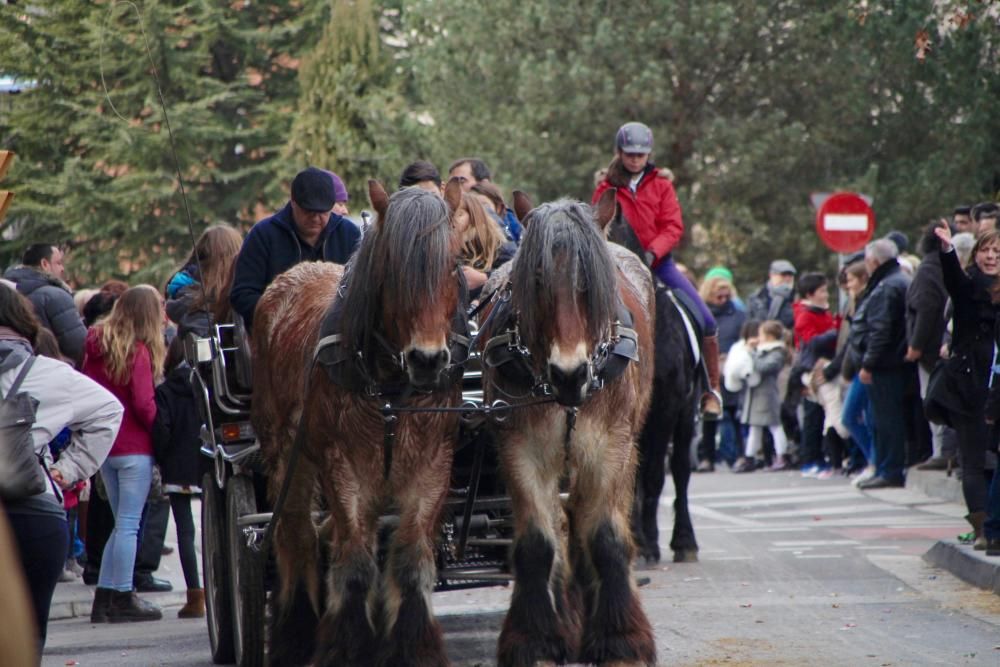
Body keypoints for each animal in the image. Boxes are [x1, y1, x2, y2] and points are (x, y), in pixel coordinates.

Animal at [482, 194, 660, 667]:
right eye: (538, 278)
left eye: (592, 283)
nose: (569, 373)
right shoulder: (521, 449)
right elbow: (539, 542)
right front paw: (535, 640)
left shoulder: (610, 449)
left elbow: (605, 537)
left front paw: (620, 639)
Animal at [604, 209, 700, 564]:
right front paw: (640, 541)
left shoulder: (666, 409)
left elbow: (657, 475)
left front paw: (649, 543)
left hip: (685, 414)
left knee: (681, 470)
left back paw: (684, 540)